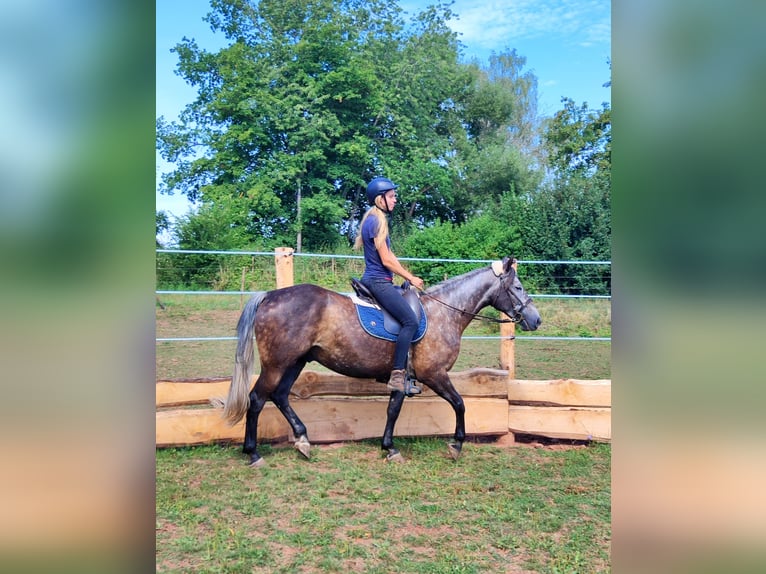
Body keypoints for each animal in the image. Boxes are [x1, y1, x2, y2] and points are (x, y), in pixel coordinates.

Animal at [218, 256, 541, 467]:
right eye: (519, 288)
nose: (536, 319)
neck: (444, 313)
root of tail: (269, 296)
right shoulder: (433, 374)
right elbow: (460, 404)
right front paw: (457, 445)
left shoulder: (403, 377)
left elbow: (393, 410)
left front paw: (389, 447)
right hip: (277, 364)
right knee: (257, 399)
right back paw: (253, 453)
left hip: (296, 361)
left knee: (281, 396)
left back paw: (303, 441)